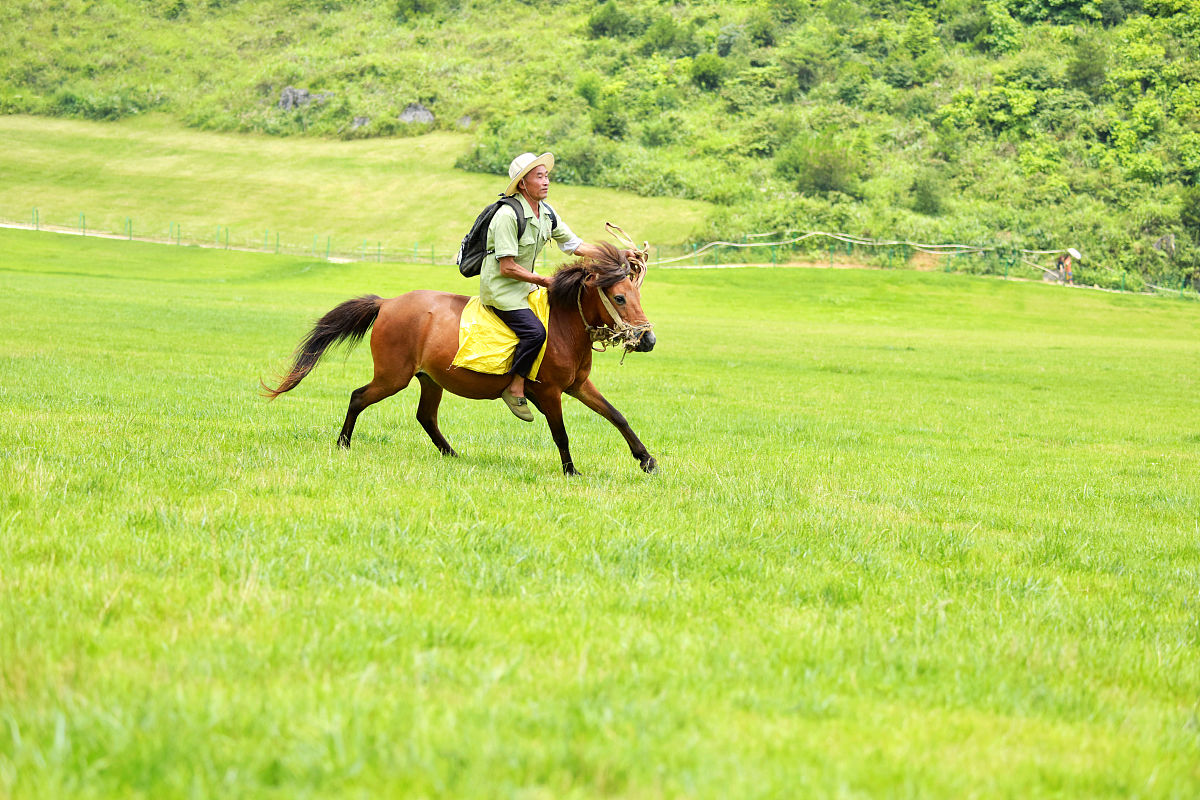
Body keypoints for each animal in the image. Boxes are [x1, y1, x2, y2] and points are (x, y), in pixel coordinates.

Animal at [262, 242, 658, 475]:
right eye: (619, 298)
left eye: (637, 294)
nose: (649, 339)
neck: (563, 325)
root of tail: (387, 303)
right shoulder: (548, 393)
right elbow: (561, 433)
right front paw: (571, 471)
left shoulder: (578, 385)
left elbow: (617, 416)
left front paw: (646, 459)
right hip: (393, 377)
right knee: (359, 397)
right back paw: (343, 443)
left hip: (429, 379)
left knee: (425, 416)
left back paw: (451, 453)